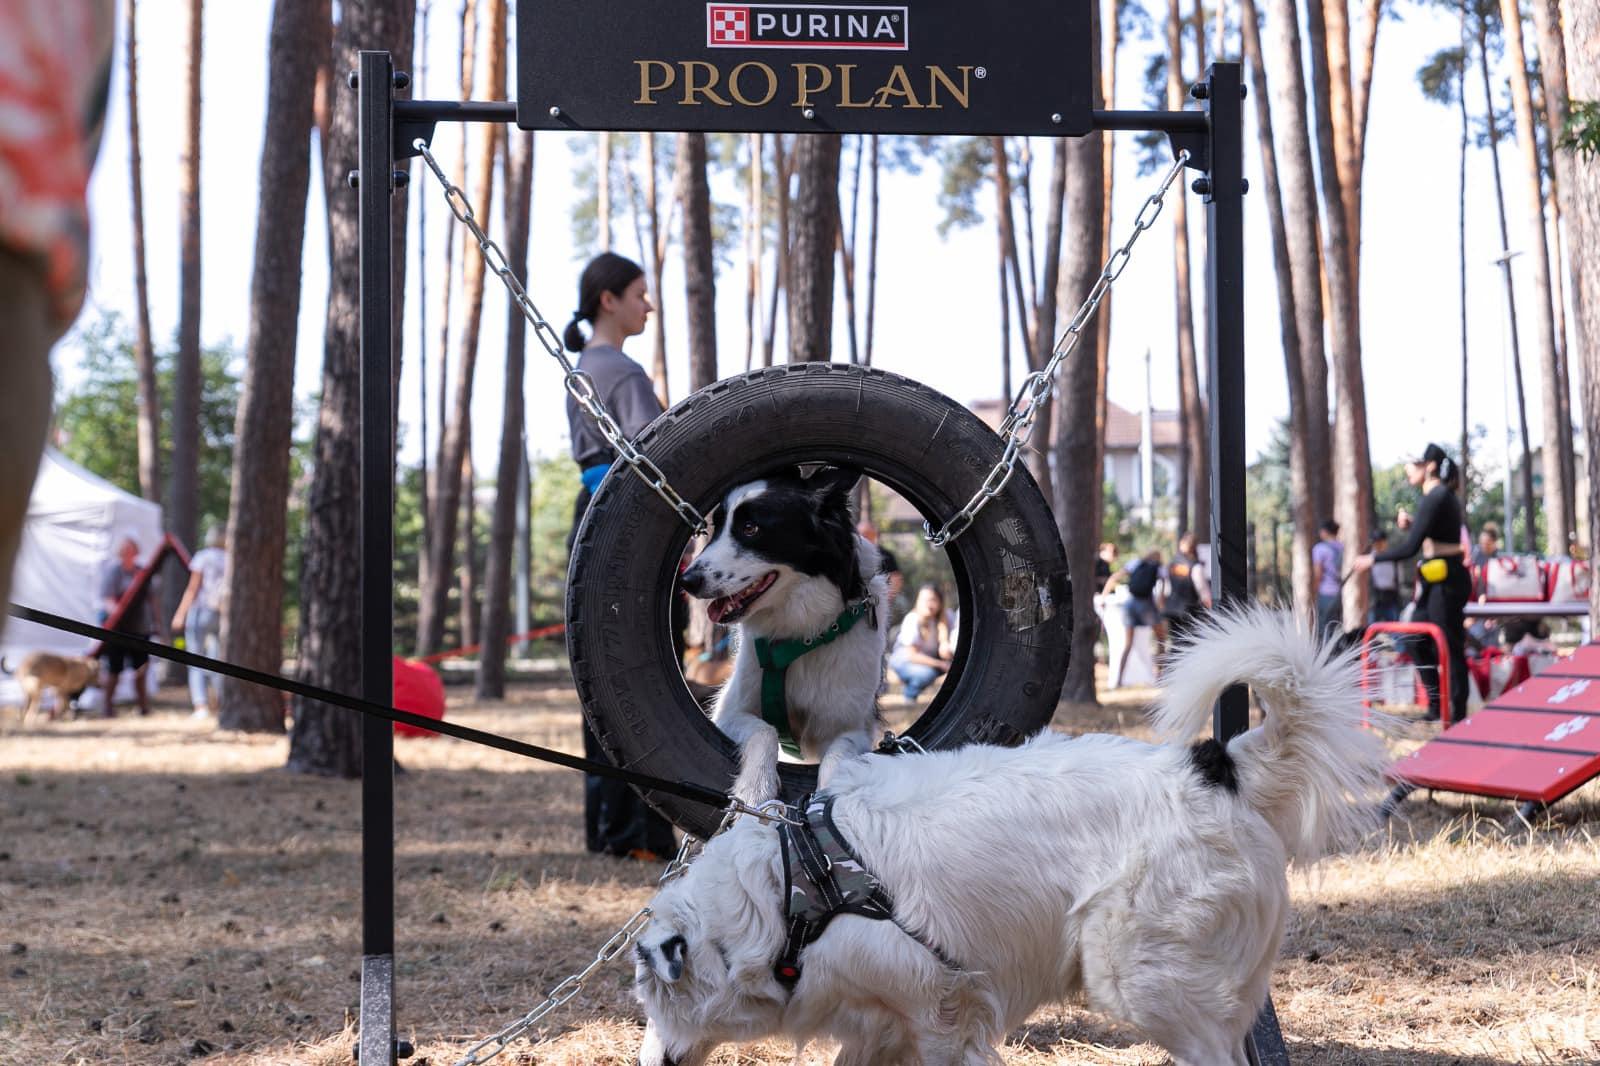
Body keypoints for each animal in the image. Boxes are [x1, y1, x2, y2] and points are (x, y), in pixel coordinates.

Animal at [630, 605, 1395, 1062]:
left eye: (651, 1000)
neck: (791, 890)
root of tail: (1217, 766)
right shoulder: (879, 1021)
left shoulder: (939, 1006)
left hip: (1144, 979)